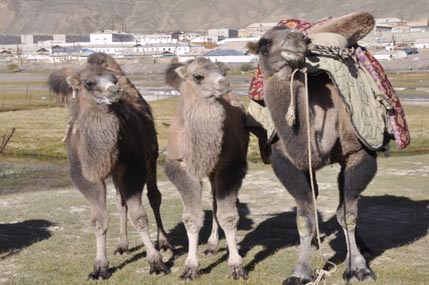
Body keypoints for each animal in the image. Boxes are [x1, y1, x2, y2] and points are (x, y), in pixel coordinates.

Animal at [48, 52, 171, 278]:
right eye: (88, 82)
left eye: (113, 80)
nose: (114, 91)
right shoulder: (86, 175)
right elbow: (99, 219)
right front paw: (99, 267)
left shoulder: (134, 167)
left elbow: (139, 216)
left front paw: (156, 263)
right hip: (115, 171)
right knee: (120, 202)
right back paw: (122, 245)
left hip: (151, 157)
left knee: (154, 196)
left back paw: (164, 242)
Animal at [164, 58, 251, 280]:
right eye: (198, 76)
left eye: (222, 71)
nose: (224, 83)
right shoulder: (181, 168)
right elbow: (192, 218)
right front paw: (190, 267)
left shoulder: (230, 167)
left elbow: (228, 216)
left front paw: (236, 265)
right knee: (212, 201)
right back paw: (211, 245)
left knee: (216, 201)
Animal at [246, 22, 382, 284]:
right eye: (264, 43)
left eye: (303, 38)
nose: (299, 38)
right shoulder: (285, 162)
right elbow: (305, 218)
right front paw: (299, 272)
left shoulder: (359, 153)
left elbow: (348, 215)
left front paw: (359, 268)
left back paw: (361, 248)